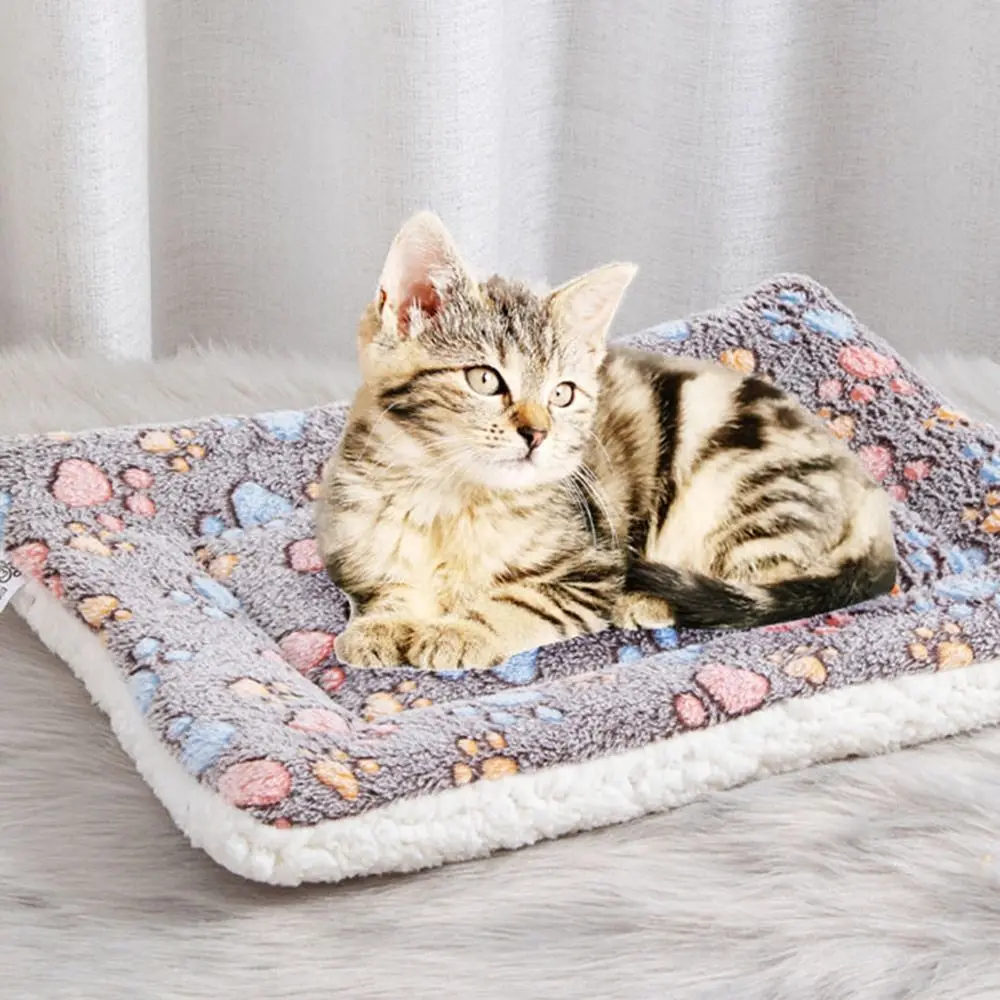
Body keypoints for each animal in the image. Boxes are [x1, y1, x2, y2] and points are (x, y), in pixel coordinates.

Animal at [316, 211, 897, 670]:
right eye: (484, 379)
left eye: (563, 393)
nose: (537, 433)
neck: (451, 502)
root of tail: (868, 491)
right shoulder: (348, 543)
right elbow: (379, 587)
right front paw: (381, 623)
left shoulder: (588, 569)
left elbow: (518, 602)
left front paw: (460, 630)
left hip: (749, 490)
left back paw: (650, 600)